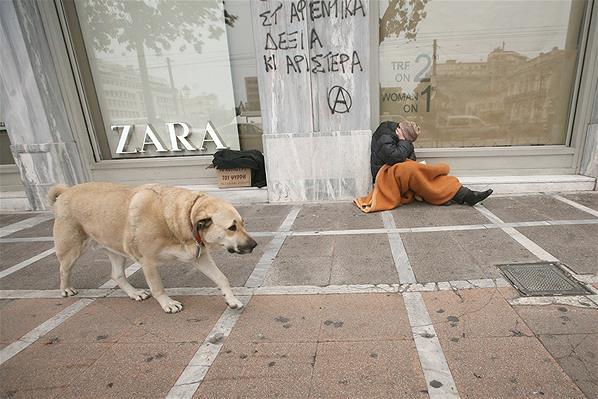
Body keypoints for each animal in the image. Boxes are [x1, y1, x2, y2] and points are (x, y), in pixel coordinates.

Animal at [47, 183, 258, 314]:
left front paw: (231, 299)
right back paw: (66, 289)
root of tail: (64, 192)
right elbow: (157, 287)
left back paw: (134, 293)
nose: (255, 245)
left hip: (115, 248)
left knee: (117, 275)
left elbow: (222, 278)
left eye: (243, 223)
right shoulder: (147, 261)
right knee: (63, 268)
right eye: (231, 228)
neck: (179, 217)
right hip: (71, 248)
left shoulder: (199, 256)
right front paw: (168, 304)